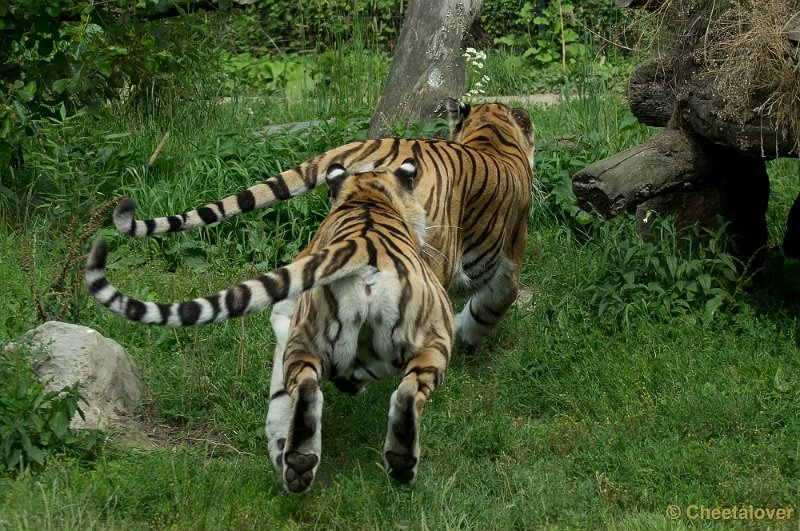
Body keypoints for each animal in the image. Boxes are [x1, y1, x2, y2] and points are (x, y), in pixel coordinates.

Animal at [86, 159, 456, 494]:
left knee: (338, 392)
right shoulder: (288, 312)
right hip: (431, 337)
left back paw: (316, 462)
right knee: (349, 390)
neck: (367, 196)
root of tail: (365, 246)